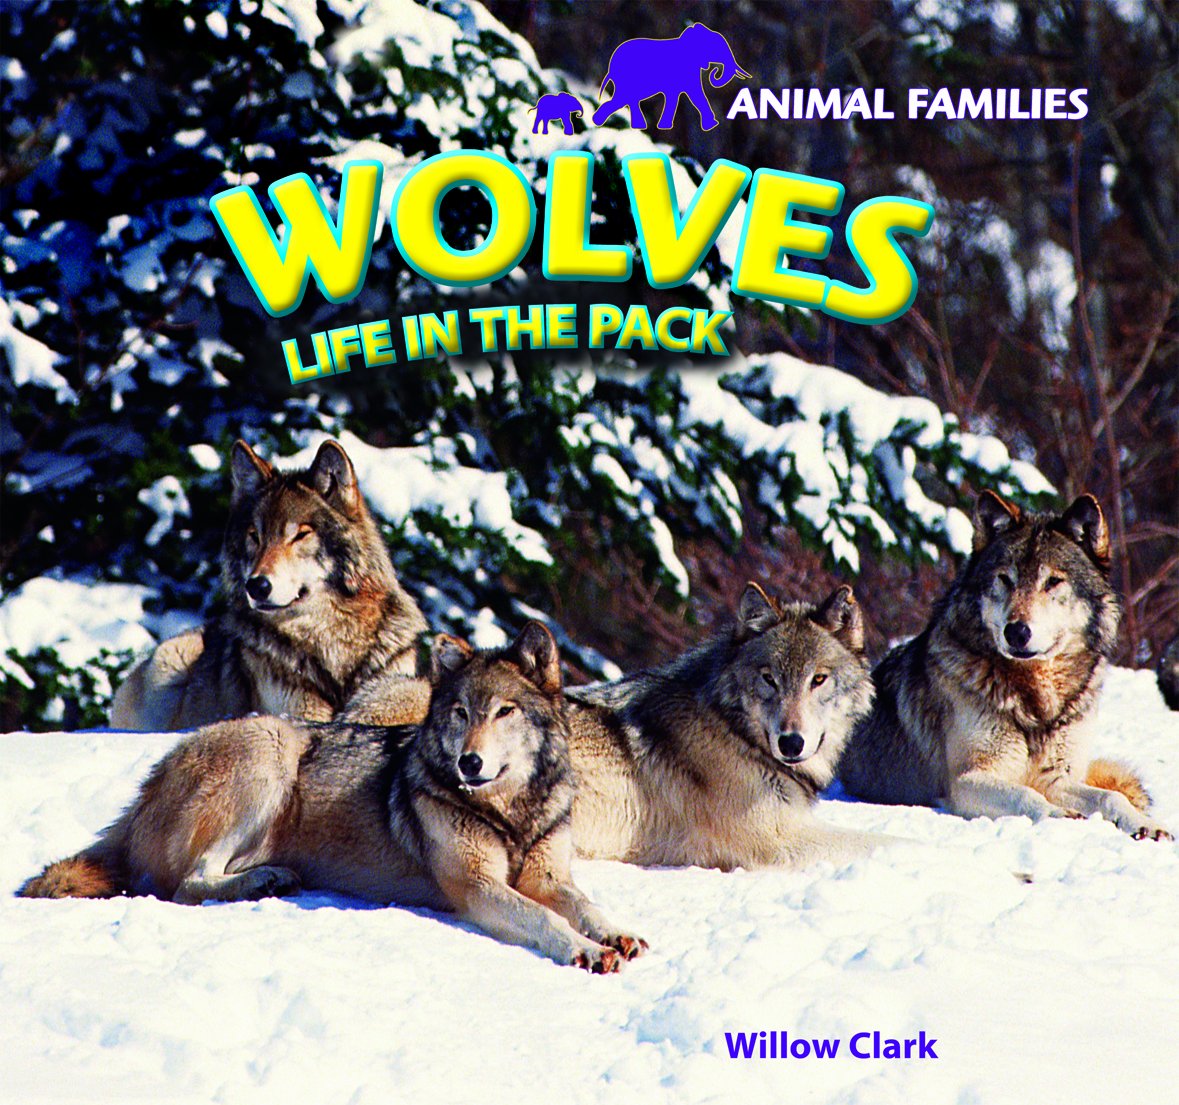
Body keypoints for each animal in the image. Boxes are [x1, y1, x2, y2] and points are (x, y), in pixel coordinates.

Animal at [23, 623, 646, 973]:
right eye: (460, 713)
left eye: (504, 711)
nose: (469, 763)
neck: (511, 811)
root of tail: (143, 792)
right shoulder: (476, 886)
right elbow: (544, 918)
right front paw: (587, 952)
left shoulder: (548, 875)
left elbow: (584, 904)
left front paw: (616, 933)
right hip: (270, 750)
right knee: (188, 884)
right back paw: (263, 881)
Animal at [111, 438, 428, 731]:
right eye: (255, 535)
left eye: (300, 535)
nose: (256, 586)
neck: (331, 641)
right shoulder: (293, 709)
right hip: (170, 660)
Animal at [565, 583, 887, 869]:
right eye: (769, 679)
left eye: (818, 679)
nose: (791, 743)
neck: (733, 732)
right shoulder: (781, 840)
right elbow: (885, 841)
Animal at [839, 491, 1172, 841]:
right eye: (1005, 579)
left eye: (1053, 581)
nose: (1017, 631)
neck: (1036, 699)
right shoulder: (966, 780)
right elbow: (1026, 795)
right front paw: (1060, 815)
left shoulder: (1058, 779)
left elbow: (1112, 796)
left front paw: (1145, 823)